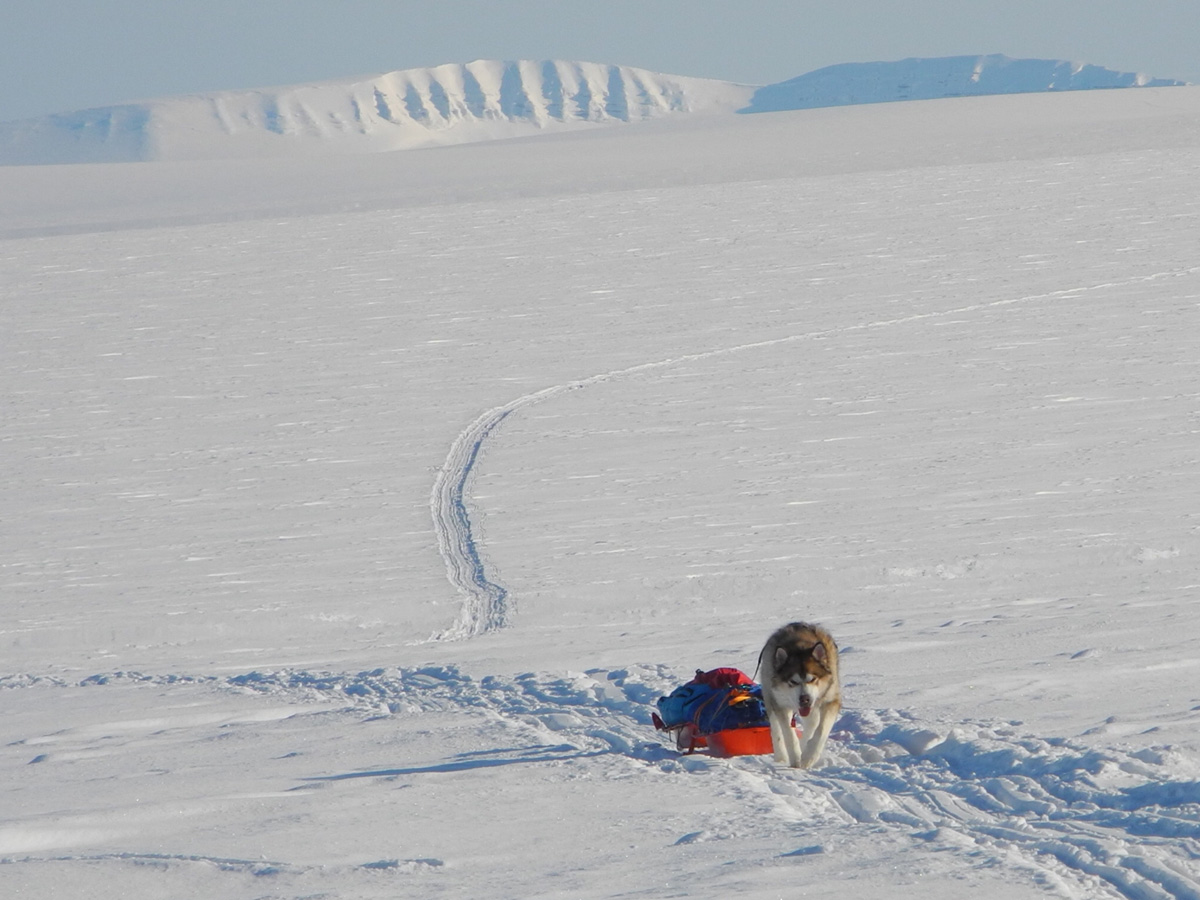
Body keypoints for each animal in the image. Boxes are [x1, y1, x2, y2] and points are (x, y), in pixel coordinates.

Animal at [758, 628, 844, 768]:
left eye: (812, 679)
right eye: (793, 682)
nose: (805, 699)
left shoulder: (831, 700)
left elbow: (821, 730)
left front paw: (809, 756)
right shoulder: (780, 704)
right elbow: (788, 733)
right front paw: (796, 758)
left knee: (812, 723)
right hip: (770, 694)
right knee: (776, 728)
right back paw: (781, 756)